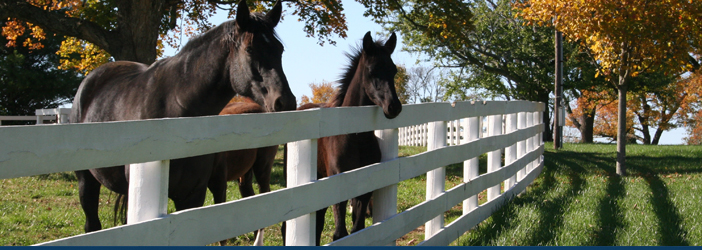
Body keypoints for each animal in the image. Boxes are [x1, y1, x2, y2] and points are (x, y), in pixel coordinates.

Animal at [284, 31, 402, 246]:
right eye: (372, 71)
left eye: (394, 70)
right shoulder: (339, 185)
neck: (356, 137)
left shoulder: (364, 189)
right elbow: (340, 234)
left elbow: (358, 229)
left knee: (318, 222)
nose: (394, 107)